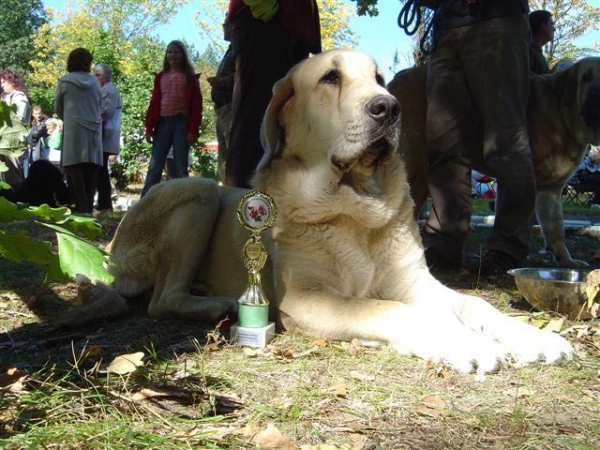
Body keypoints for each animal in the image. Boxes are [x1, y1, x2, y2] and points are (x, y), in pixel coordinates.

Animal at [61, 50, 572, 372]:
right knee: (161, 299)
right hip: (200, 190)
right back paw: (218, 304)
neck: (355, 209)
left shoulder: (417, 284)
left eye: (380, 79)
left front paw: (534, 337)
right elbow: (385, 308)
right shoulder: (306, 299)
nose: (389, 108)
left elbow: (474, 303)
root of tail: (109, 251)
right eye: (331, 78)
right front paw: (461, 341)